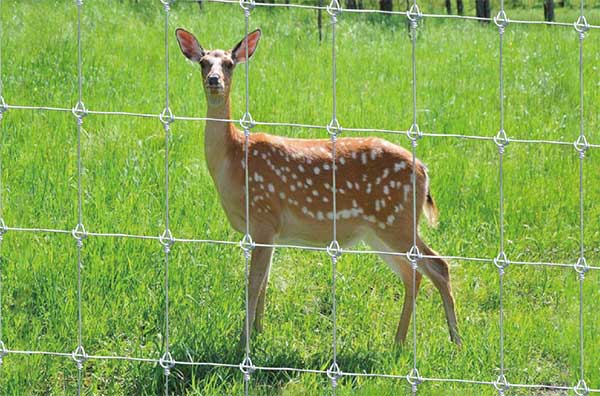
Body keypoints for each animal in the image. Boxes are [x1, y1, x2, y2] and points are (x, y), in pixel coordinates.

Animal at [176, 28, 462, 346]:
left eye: (229, 64)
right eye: (203, 62)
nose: (214, 80)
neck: (234, 158)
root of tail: (423, 169)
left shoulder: (263, 217)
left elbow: (253, 284)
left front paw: (244, 342)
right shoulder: (270, 231)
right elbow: (264, 283)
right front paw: (260, 332)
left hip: (396, 220)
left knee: (438, 265)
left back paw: (455, 340)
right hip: (378, 230)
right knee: (413, 274)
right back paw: (399, 341)